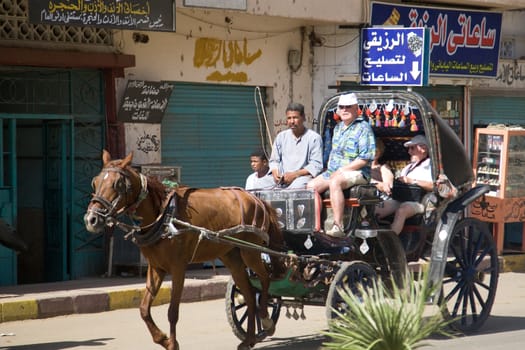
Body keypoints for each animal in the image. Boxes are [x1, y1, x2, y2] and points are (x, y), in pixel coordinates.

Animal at [84, 149, 284, 348]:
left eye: (117, 184)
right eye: (95, 182)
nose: (91, 219)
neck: (163, 216)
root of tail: (256, 199)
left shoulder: (178, 267)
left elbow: (172, 312)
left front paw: (172, 344)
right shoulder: (156, 267)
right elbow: (143, 309)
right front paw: (162, 339)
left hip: (251, 251)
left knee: (265, 279)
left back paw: (266, 320)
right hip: (232, 256)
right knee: (249, 294)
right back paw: (249, 339)